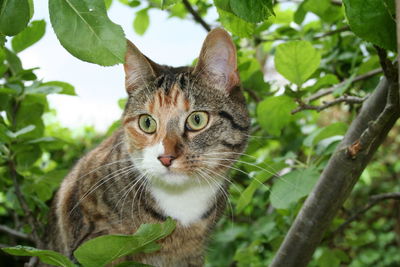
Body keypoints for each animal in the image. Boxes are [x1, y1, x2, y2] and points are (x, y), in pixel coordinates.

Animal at [44, 28, 250, 266]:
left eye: (197, 120)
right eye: (147, 123)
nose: (166, 157)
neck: (180, 201)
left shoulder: (191, 254)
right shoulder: (92, 245)